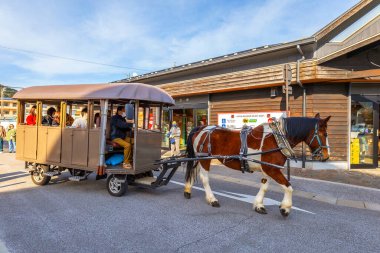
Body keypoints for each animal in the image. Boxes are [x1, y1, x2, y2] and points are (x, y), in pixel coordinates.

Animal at [183, 113, 330, 216]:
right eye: (324, 134)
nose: (327, 156)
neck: (277, 139)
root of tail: (201, 127)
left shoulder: (267, 169)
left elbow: (264, 186)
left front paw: (259, 205)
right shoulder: (272, 169)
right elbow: (288, 187)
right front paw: (285, 208)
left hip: (199, 158)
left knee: (193, 171)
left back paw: (187, 190)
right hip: (205, 159)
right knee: (204, 178)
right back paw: (212, 199)